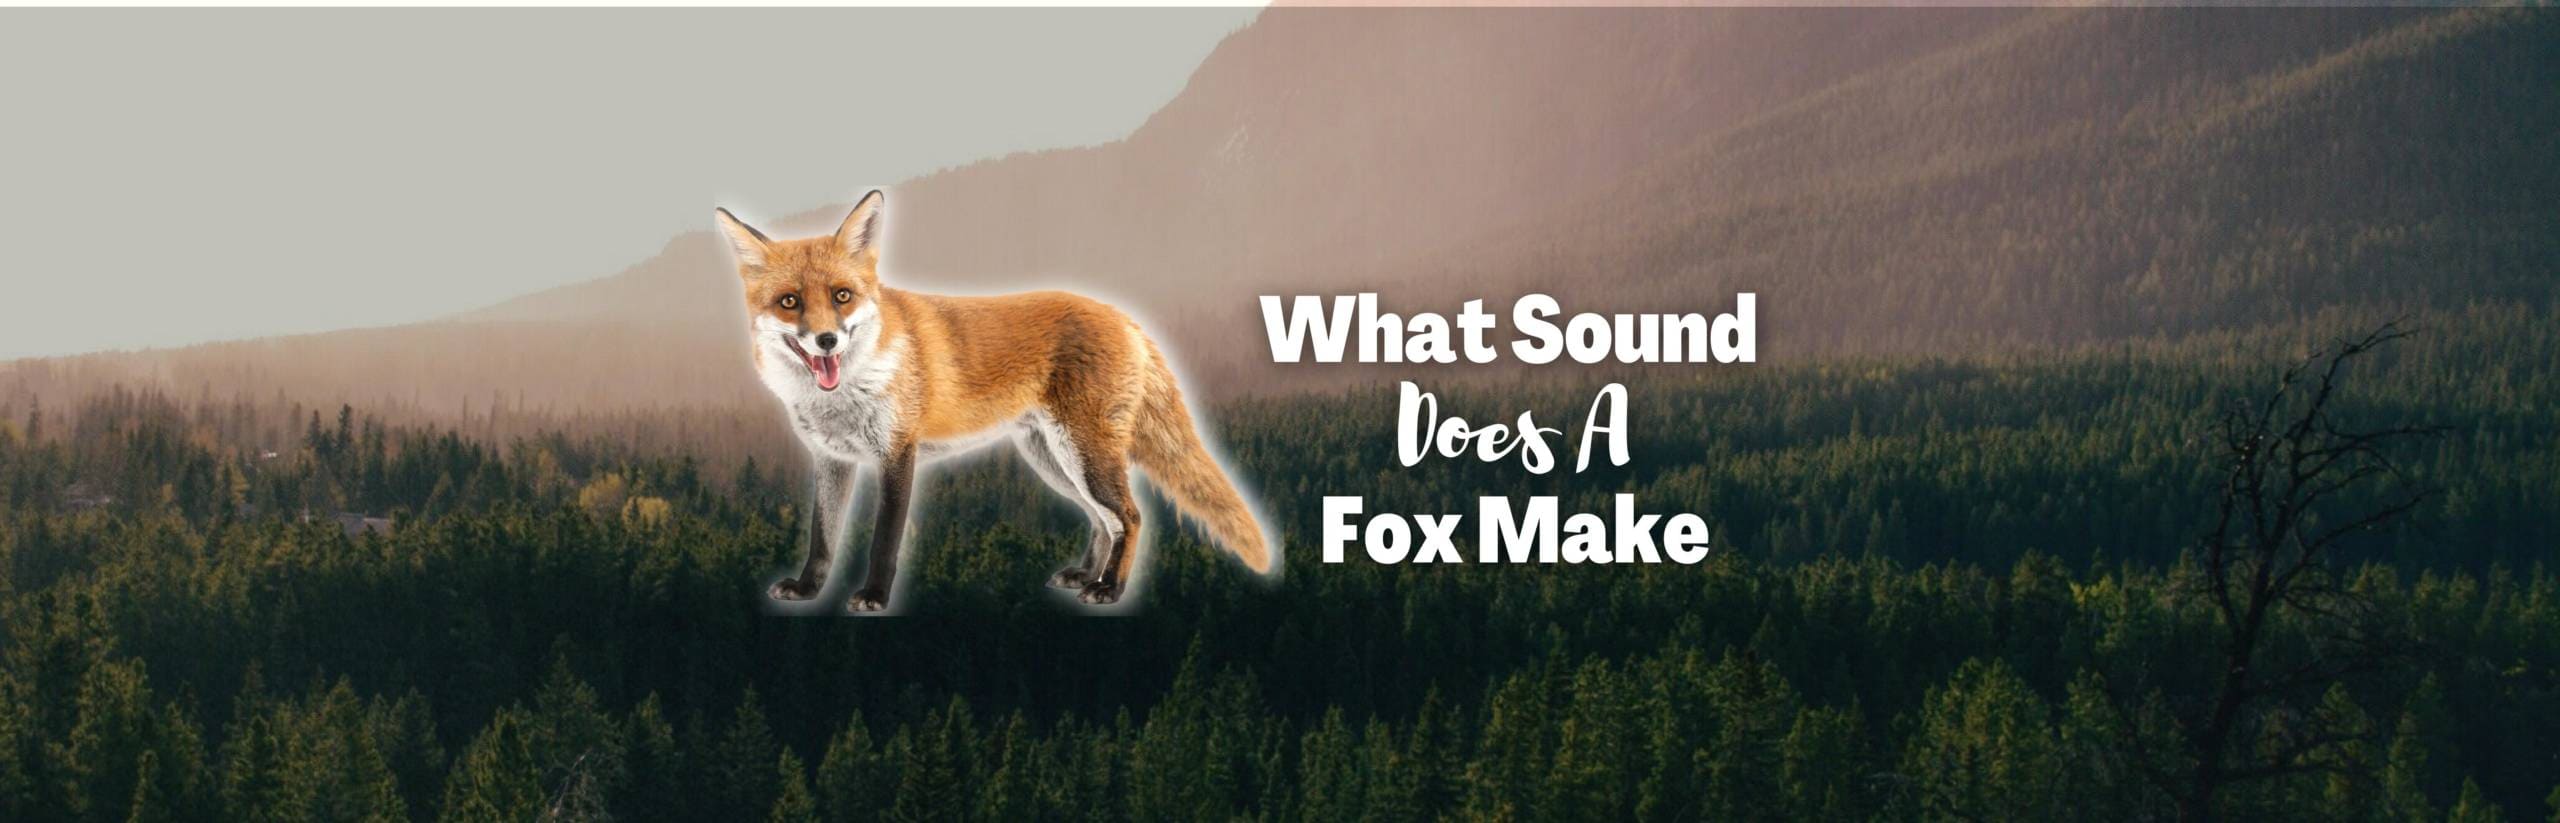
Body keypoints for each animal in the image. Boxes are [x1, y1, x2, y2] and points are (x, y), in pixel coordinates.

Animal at [716, 190, 1276, 613]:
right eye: (789, 302)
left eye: (841, 296)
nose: (827, 341)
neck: (845, 395)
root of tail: (1123, 316)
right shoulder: (831, 459)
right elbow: (822, 538)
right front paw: (809, 589)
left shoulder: (897, 455)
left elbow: (883, 542)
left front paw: (873, 596)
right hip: (1052, 460)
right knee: (1103, 520)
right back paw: (1085, 575)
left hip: (1084, 456)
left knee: (1132, 517)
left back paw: (1110, 589)